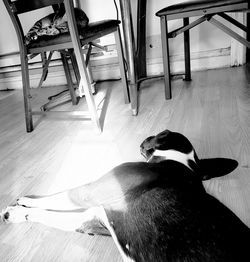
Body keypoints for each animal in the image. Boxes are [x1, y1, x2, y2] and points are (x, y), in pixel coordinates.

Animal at [0, 129, 249, 262]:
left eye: (161, 133)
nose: (146, 137)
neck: (179, 162)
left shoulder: (88, 193)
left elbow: (59, 196)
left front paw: (23, 203)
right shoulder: (93, 220)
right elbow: (49, 215)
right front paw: (20, 213)